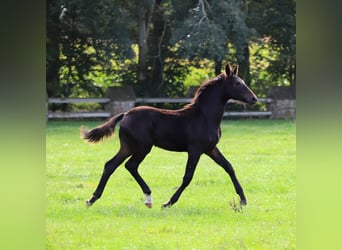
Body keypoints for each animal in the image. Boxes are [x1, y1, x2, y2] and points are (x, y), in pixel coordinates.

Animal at [81, 63, 256, 209]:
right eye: (237, 83)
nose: (254, 99)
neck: (204, 116)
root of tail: (125, 115)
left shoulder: (210, 148)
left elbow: (229, 167)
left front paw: (243, 200)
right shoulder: (195, 150)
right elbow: (188, 177)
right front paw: (168, 202)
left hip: (128, 147)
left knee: (110, 165)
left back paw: (92, 199)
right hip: (142, 147)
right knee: (130, 165)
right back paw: (148, 198)